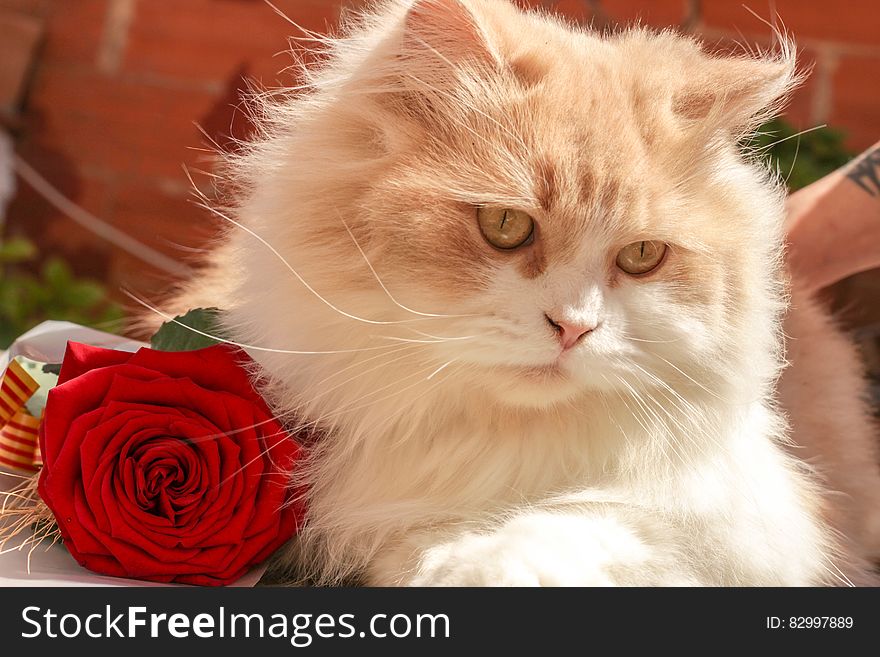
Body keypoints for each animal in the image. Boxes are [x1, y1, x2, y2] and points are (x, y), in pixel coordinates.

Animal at [170, 0, 880, 584]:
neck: (490, 440)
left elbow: (585, 527)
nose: (574, 327)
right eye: (505, 226)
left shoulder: (756, 523)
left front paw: (471, 563)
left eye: (641, 257)